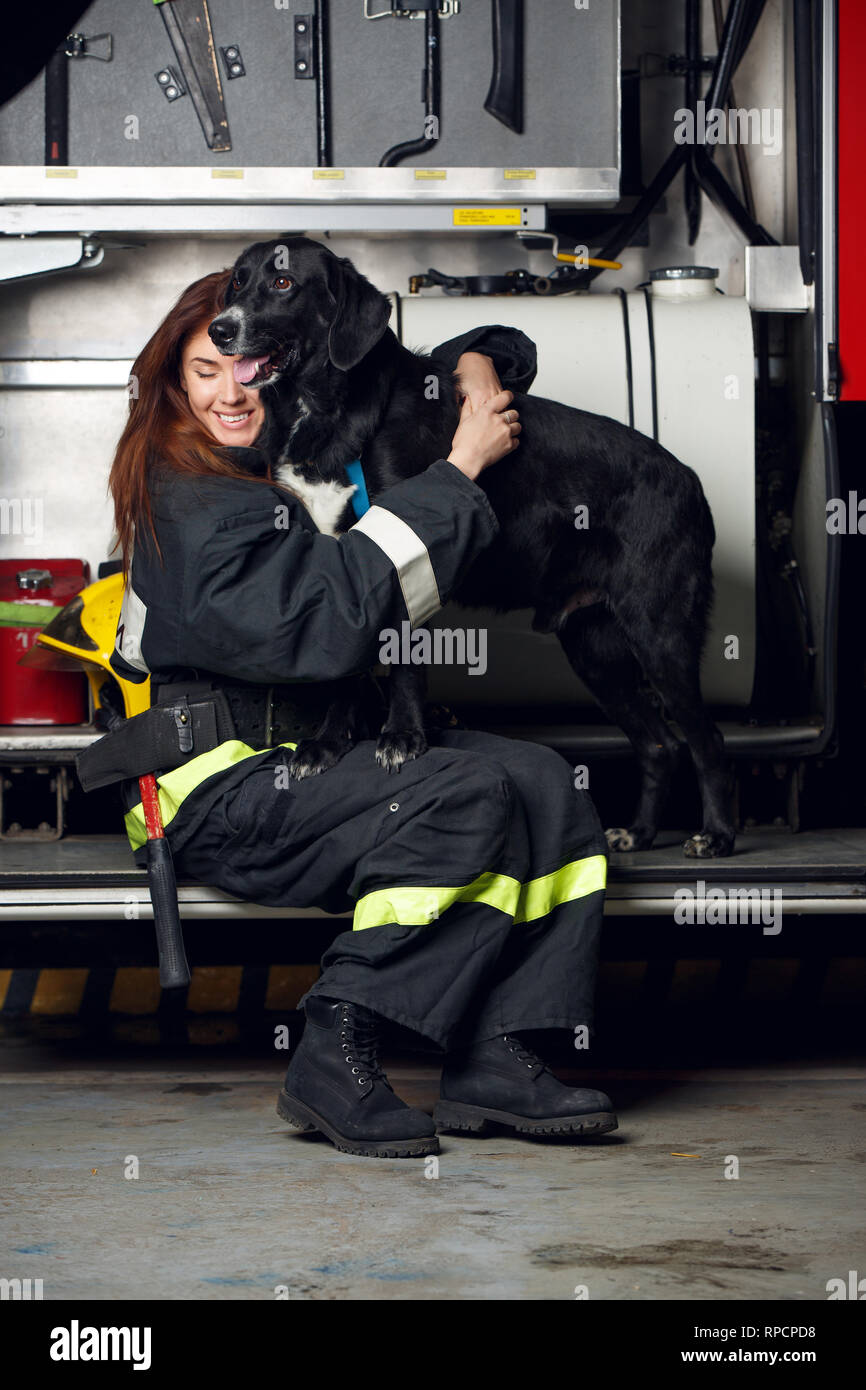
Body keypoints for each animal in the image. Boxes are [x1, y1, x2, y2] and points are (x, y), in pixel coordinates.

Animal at [208, 236, 733, 856]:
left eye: (284, 283)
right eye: (237, 282)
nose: (219, 330)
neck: (330, 411)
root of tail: (690, 479)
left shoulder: (406, 560)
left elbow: (406, 665)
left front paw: (403, 736)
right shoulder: (338, 575)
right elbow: (345, 670)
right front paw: (328, 744)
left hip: (660, 632)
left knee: (705, 738)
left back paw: (716, 836)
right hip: (595, 648)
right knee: (658, 743)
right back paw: (641, 831)